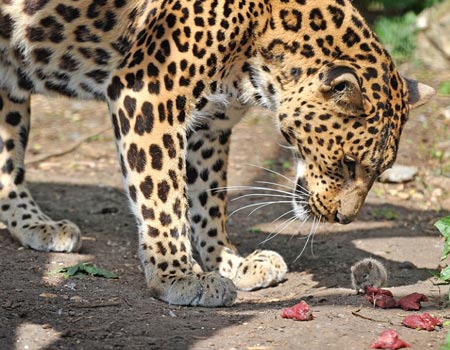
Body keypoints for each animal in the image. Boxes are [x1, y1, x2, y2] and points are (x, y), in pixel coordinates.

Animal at [0, 0, 434, 306]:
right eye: (347, 163)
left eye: (378, 171)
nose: (344, 220)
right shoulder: (148, 94)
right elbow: (163, 196)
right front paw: (177, 276)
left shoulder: (209, 124)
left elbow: (207, 199)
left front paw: (230, 263)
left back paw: (37, 226)